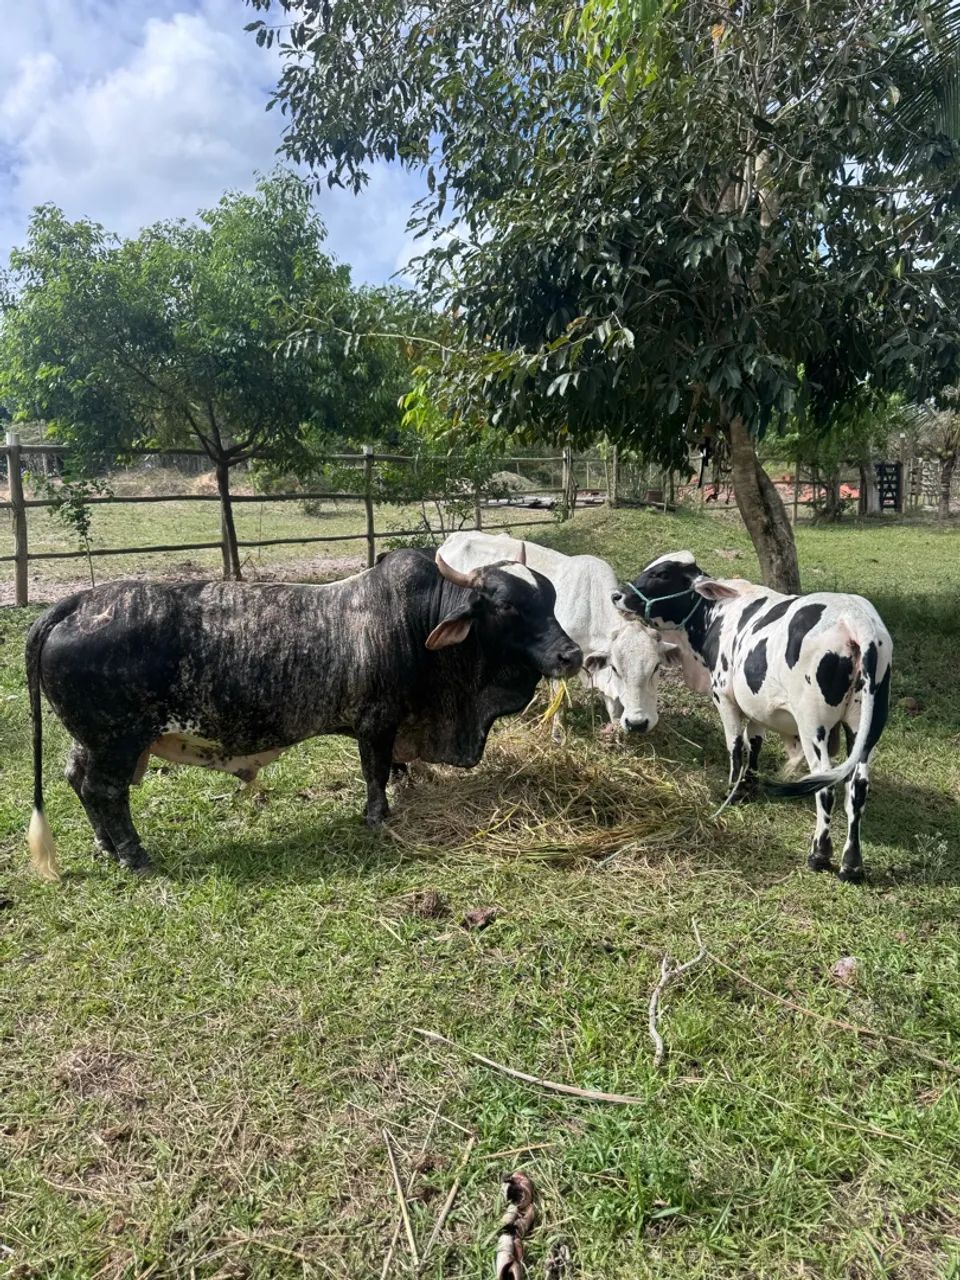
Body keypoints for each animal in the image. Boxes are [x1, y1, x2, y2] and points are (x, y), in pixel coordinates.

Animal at [26, 548, 581, 880]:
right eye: (507, 606)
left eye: (552, 598)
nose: (571, 656)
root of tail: (75, 602)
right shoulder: (376, 722)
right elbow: (375, 772)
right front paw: (378, 816)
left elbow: (395, 768)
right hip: (117, 740)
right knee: (105, 791)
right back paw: (134, 855)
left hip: (91, 740)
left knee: (78, 780)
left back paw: (105, 845)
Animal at [439, 531, 682, 738]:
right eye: (616, 668)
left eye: (657, 667)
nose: (638, 724)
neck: (591, 607)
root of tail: (452, 539)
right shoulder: (561, 659)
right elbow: (559, 698)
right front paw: (558, 732)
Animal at [612, 552, 892, 882]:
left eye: (663, 574)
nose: (617, 595)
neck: (716, 614)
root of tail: (855, 619)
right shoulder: (756, 702)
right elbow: (755, 742)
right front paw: (749, 785)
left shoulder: (724, 696)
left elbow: (735, 745)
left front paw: (731, 791)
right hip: (865, 725)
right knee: (857, 786)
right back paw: (851, 865)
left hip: (813, 725)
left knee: (825, 785)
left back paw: (819, 855)